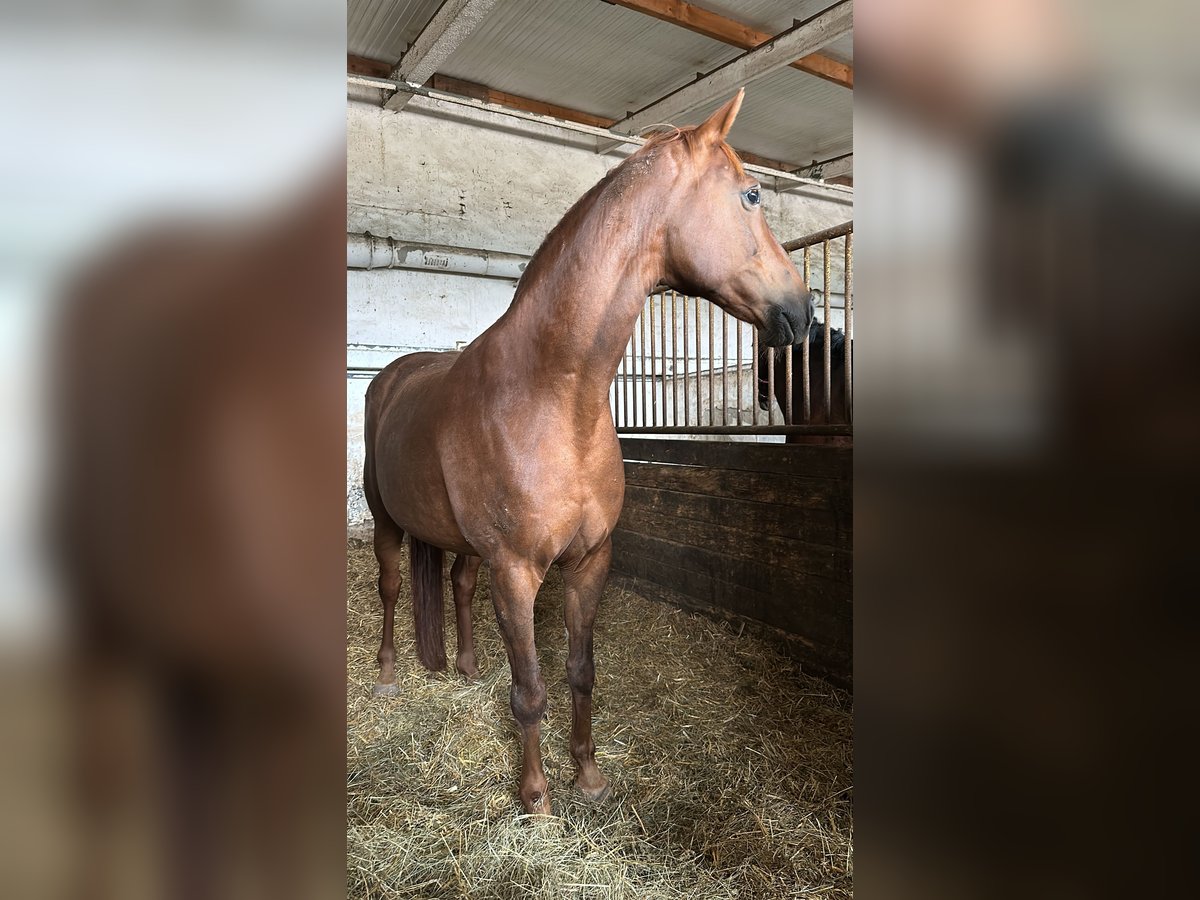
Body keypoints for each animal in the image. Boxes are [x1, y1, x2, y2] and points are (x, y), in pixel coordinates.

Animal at [362, 91, 816, 816]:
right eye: (751, 194)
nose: (803, 314)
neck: (554, 398)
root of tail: (394, 374)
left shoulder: (589, 562)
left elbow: (580, 671)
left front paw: (589, 777)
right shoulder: (517, 572)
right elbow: (529, 690)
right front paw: (537, 799)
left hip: (464, 546)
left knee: (457, 585)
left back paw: (465, 667)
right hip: (385, 522)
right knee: (390, 586)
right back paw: (385, 676)